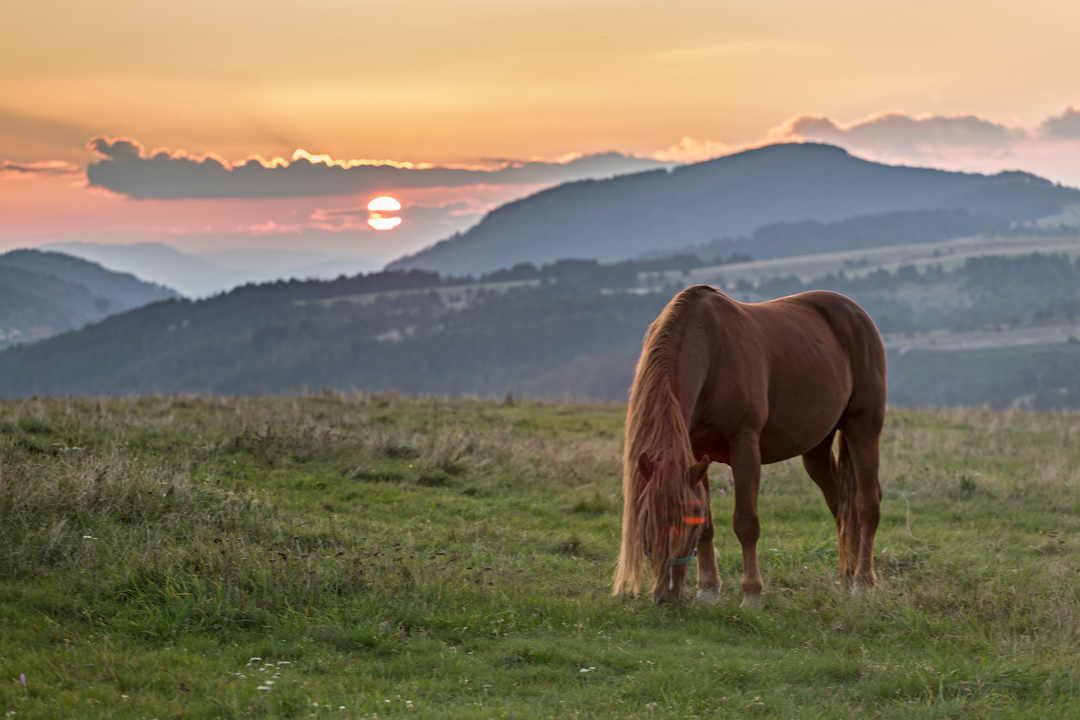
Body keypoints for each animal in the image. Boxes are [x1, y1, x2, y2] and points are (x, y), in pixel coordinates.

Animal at [617, 284, 885, 604]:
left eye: (687, 520)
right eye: (646, 519)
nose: (666, 596)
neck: (712, 353)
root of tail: (855, 313)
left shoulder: (744, 447)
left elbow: (746, 523)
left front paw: (752, 594)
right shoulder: (695, 454)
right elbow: (709, 527)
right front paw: (707, 590)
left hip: (863, 430)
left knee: (866, 504)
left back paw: (863, 582)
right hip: (816, 448)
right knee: (841, 505)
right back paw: (847, 576)